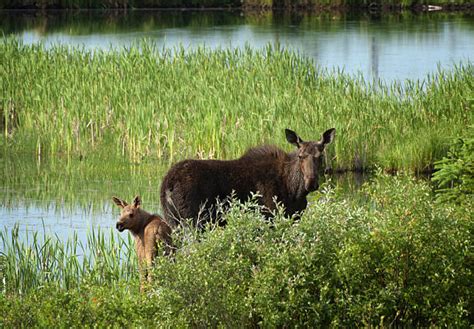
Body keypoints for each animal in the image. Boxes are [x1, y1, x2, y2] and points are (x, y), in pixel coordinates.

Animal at [161, 128, 336, 228]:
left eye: (320, 156)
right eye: (300, 156)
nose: (311, 183)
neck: (294, 190)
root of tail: (167, 186)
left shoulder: (295, 216)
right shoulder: (270, 216)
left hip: (173, 222)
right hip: (194, 221)